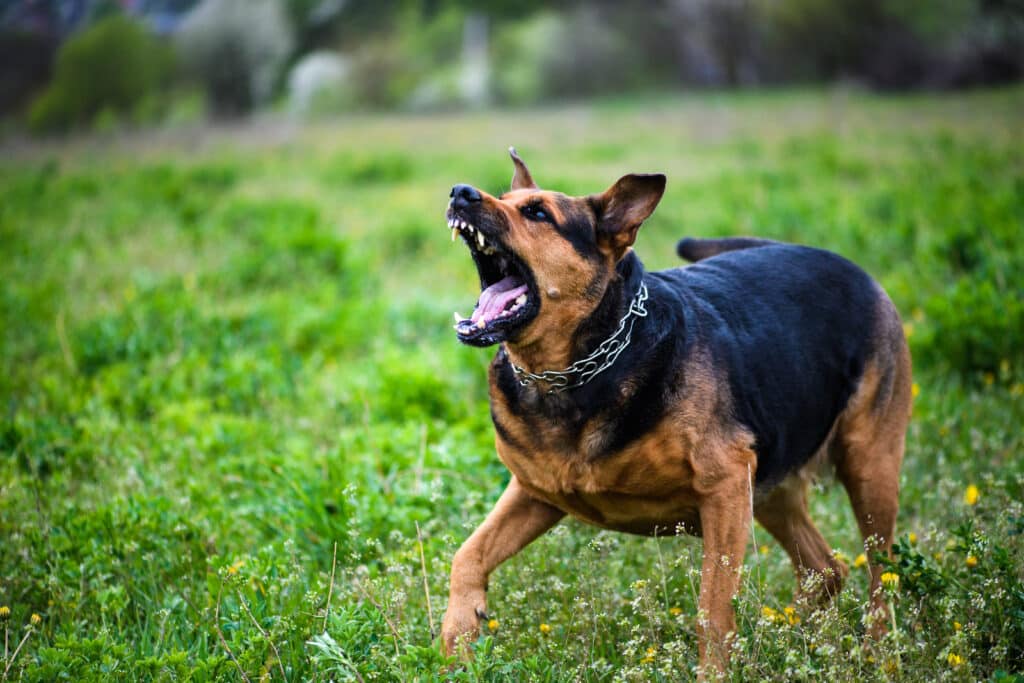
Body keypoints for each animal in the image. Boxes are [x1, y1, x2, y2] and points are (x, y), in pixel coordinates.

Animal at [440, 147, 913, 675]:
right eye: (506, 199)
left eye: (538, 213)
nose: (460, 192)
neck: (576, 369)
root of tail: (849, 266)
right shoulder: (533, 492)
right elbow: (468, 556)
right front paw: (457, 643)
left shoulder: (724, 489)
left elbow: (713, 609)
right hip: (771, 484)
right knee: (825, 568)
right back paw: (801, 645)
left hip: (868, 462)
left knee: (881, 574)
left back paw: (876, 655)